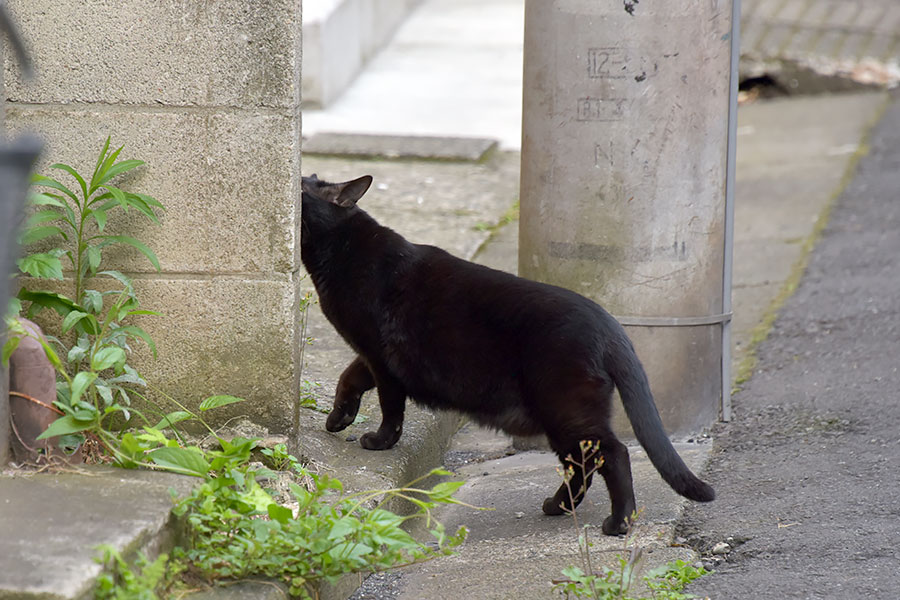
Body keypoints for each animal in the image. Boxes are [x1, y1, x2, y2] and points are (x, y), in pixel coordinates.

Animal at [302, 173, 716, 536]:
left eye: (302, 187)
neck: (343, 249)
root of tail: (609, 324)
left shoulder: (381, 357)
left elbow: (391, 408)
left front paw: (380, 440)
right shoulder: (370, 355)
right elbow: (348, 378)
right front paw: (338, 419)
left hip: (565, 409)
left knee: (611, 454)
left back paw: (617, 522)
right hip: (563, 419)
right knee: (582, 464)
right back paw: (558, 506)